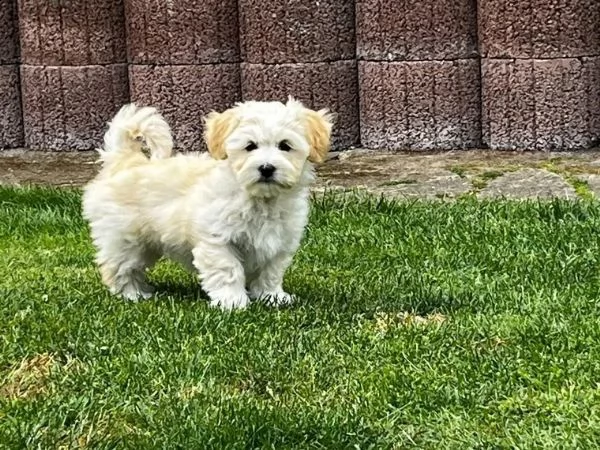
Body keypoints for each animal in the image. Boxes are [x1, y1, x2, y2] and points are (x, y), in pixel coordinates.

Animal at [81, 98, 332, 310]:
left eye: (285, 146)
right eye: (250, 146)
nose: (267, 168)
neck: (261, 200)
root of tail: (124, 161)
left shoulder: (279, 243)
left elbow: (270, 272)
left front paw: (272, 297)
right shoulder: (218, 240)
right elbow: (228, 270)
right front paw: (233, 302)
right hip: (124, 238)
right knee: (119, 267)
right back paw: (132, 294)